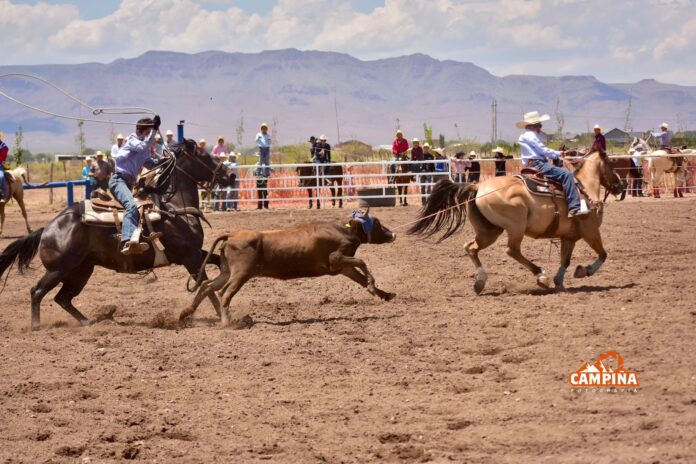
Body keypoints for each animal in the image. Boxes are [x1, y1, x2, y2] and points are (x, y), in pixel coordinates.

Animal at [0, 139, 228, 330]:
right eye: (204, 154)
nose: (230, 175)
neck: (174, 208)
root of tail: (48, 228)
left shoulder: (195, 253)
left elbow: (218, 264)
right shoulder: (190, 257)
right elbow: (206, 286)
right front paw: (222, 317)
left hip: (81, 270)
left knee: (62, 298)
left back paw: (88, 322)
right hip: (59, 269)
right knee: (37, 291)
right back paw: (36, 326)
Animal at [180, 209, 396, 328]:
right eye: (376, 222)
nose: (392, 234)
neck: (343, 230)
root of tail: (232, 235)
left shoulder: (342, 267)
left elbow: (359, 277)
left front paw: (384, 294)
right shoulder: (337, 259)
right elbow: (362, 263)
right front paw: (373, 286)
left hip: (227, 271)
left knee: (207, 285)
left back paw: (185, 313)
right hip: (241, 274)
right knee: (225, 292)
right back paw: (227, 322)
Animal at [409, 151, 624, 293]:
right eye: (612, 165)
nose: (621, 187)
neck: (585, 189)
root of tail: (477, 186)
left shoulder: (569, 237)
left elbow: (565, 260)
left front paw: (560, 281)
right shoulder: (590, 231)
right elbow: (603, 254)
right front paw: (584, 271)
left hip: (489, 231)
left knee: (470, 247)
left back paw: (480, 282)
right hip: (515, 227)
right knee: (512, 250)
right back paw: (541, 275)